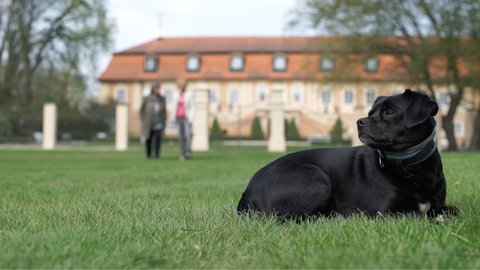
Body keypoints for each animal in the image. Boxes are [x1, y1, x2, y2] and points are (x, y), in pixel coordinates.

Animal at [238, 89, 456, 220]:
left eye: (389, 112)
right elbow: (415, 215)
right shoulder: (383, 212)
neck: (408, 165)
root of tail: (247, 192)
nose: (360, 121)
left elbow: (453, 210)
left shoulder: (438, 204)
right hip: (316, 178)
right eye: (370, 112)